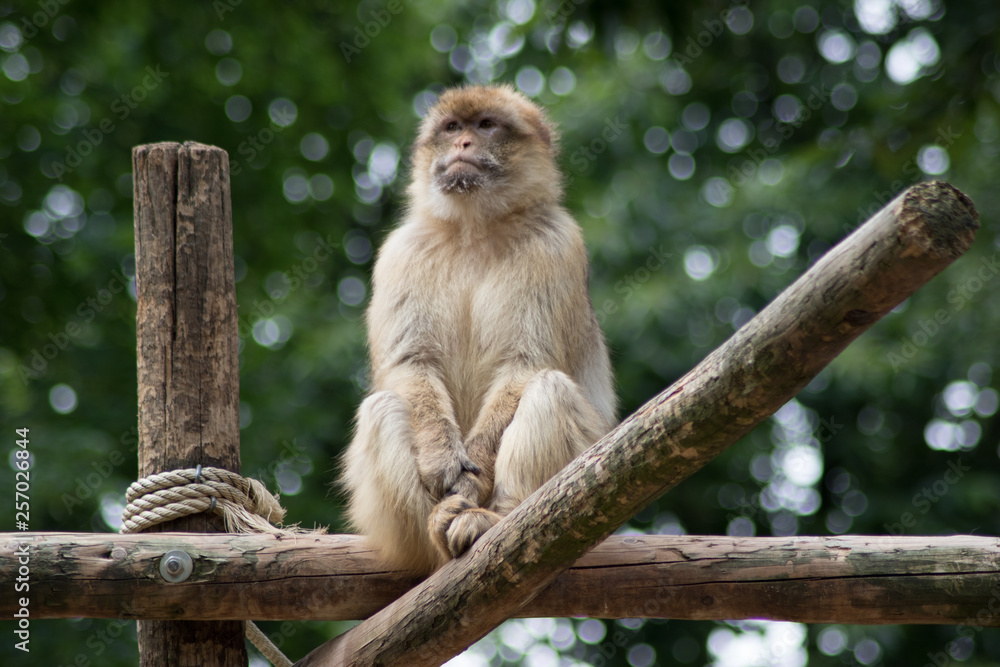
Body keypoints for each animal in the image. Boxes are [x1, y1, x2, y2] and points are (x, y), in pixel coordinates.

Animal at [341, 84, 617, 573]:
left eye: (486, 125)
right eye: (453, 128)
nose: (464, 143)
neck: (475, 228)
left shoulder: (556, 245)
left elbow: (525, 364)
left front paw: (475, 477)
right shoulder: (401, 252)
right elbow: (411, 363)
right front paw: (441, 459)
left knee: (549, 388)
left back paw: (493, 518)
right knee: (383, 406)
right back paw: (437, 532)